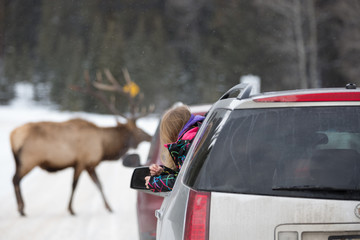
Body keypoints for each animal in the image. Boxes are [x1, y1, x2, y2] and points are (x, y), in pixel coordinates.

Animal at [10, 67, 153, 216]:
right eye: (138, 129)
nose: (149, 136)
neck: (104, 146)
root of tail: (13, 135)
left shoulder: (90, 165)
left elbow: (99, 184)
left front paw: (109, 207)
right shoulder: (82, 161)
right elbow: (75, 185)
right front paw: (71, 209)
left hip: (18, 161)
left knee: (15, 179)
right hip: (29, 160)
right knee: (15, 179)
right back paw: (21, 209)